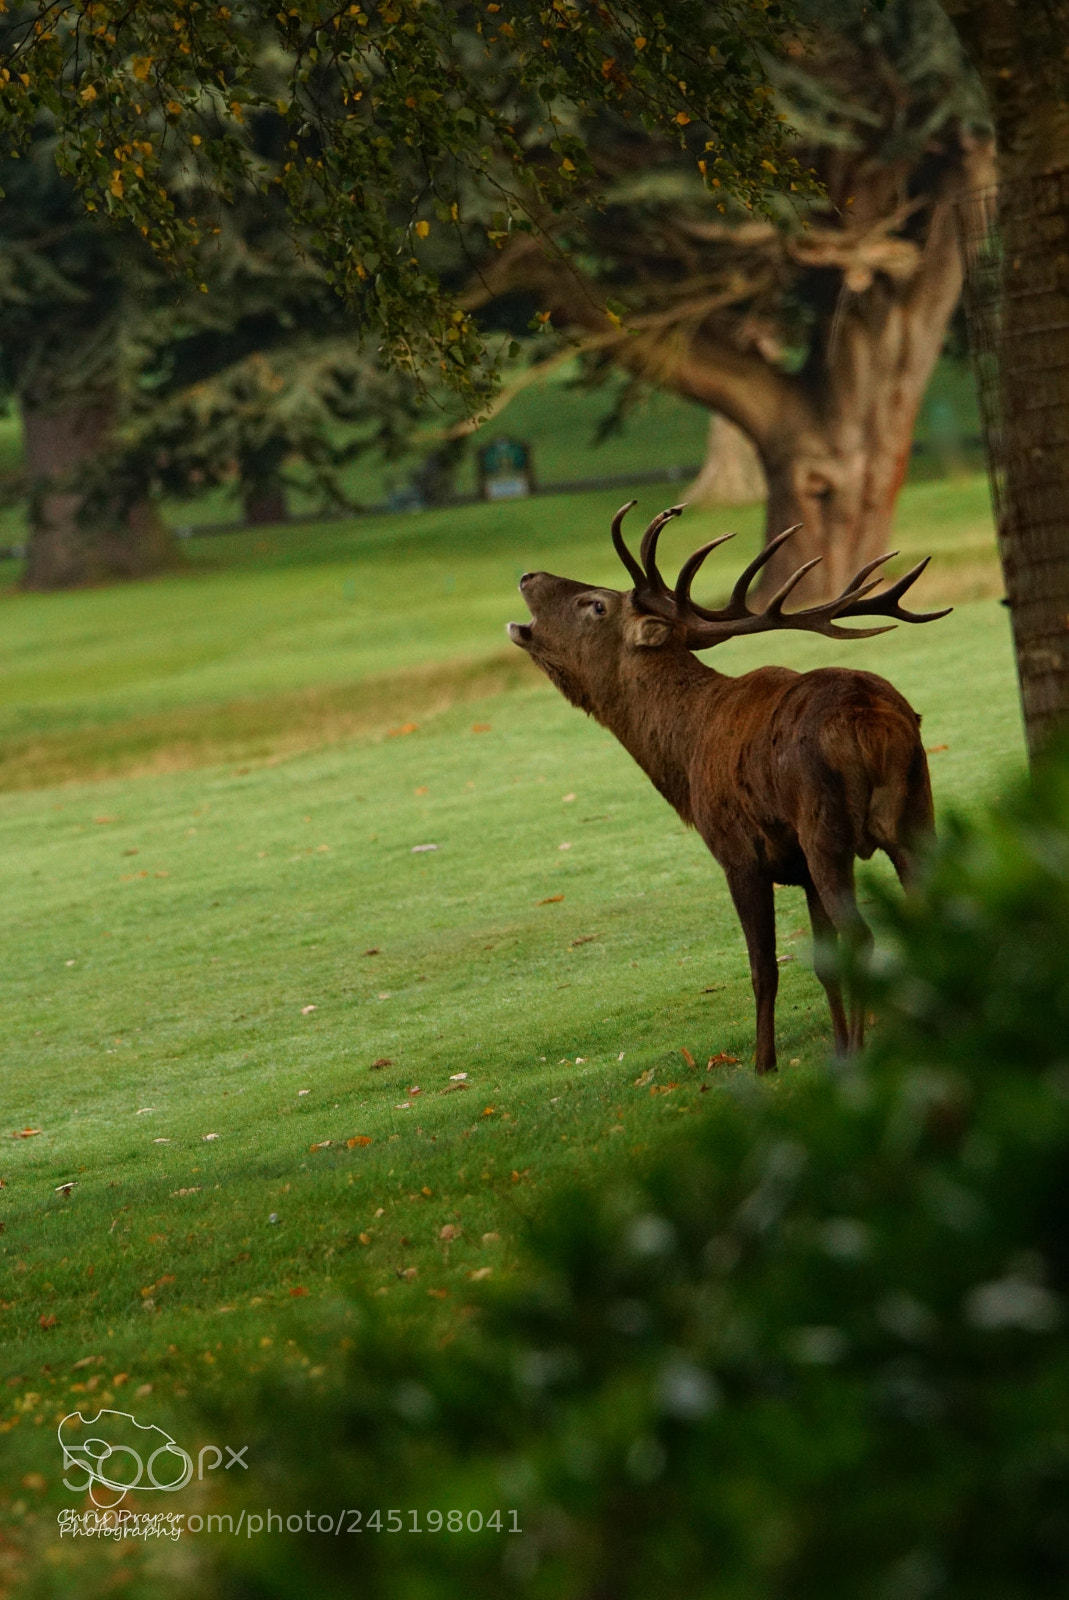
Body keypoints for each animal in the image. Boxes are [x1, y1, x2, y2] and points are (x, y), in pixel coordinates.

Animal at [507, 501, 950, 1073]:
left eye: (596, 605)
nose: (528, 576)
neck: (686, 752)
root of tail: (872, 723)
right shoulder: (800, 868)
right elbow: (823, 963)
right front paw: (834, 1048)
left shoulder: (739, 854)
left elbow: (765, 968)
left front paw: (765, 1064)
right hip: (917, 809)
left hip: (825, 828)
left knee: (862, 935)